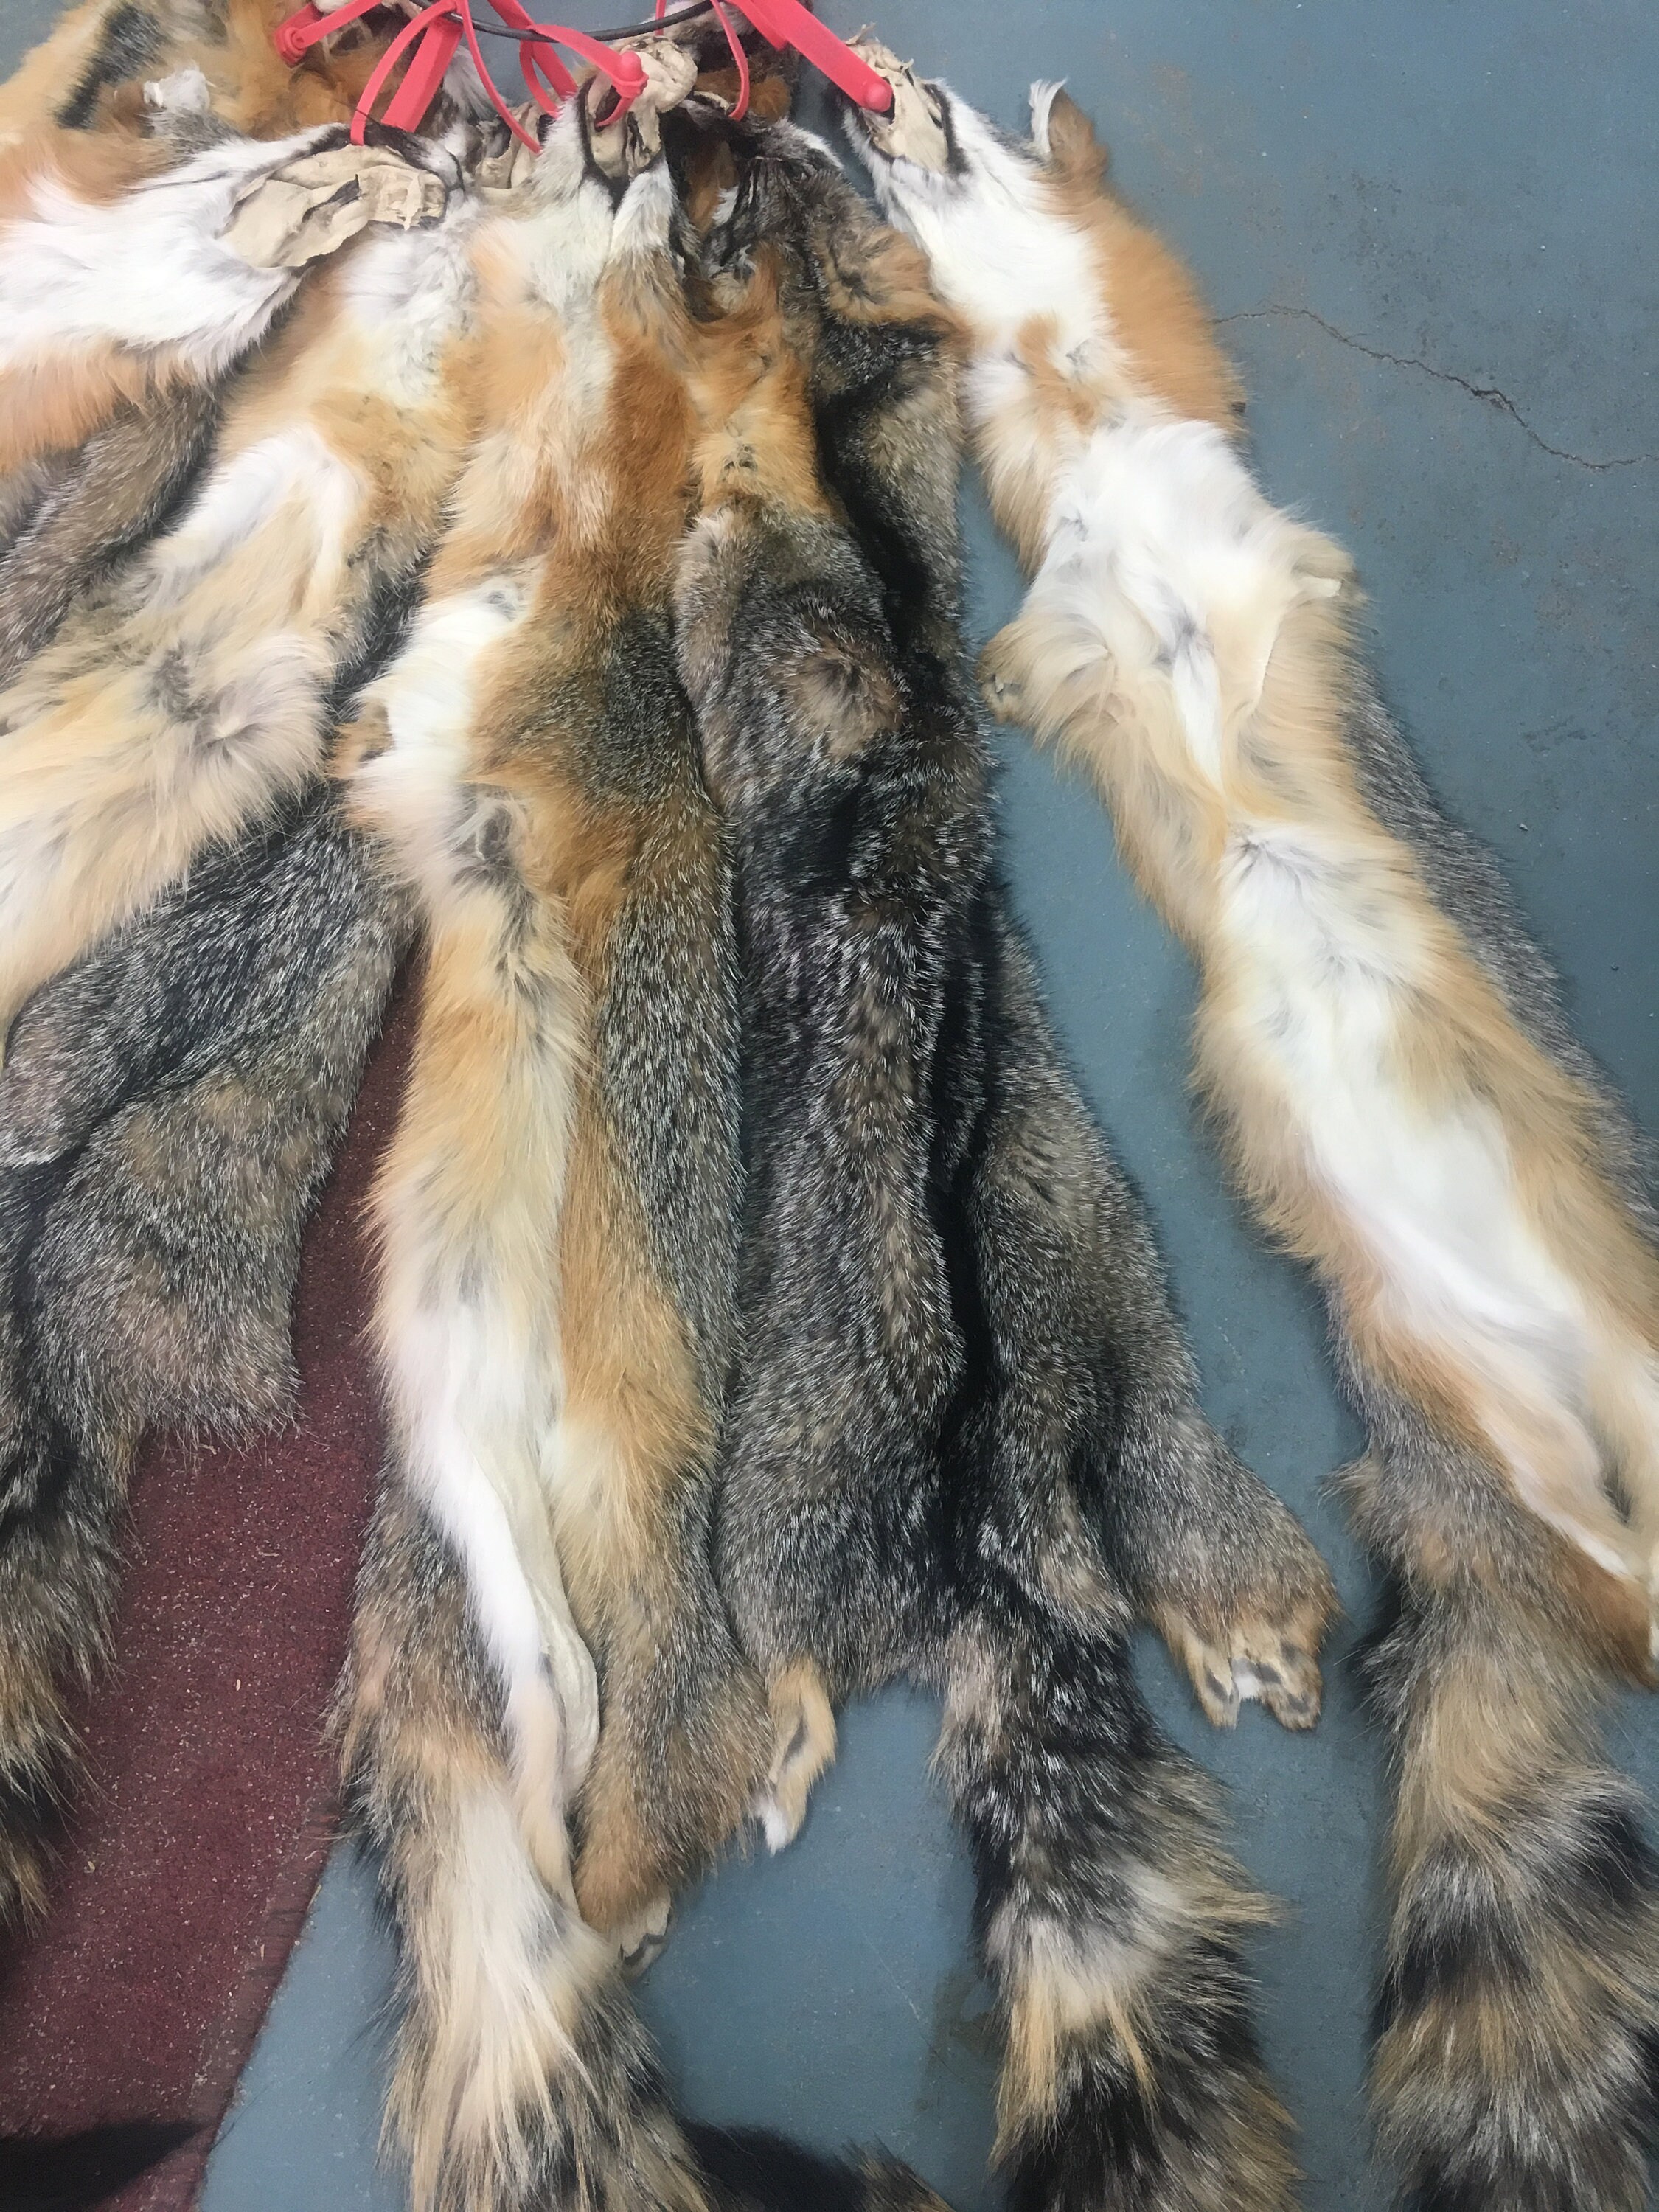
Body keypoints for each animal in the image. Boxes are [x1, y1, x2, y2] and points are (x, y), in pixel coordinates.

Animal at [668, 110, 1334, 2212]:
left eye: (725, 187)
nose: (678, 101)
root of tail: (1011, 1523)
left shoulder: (757, 603)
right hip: (1158, 1421)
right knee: (1207, 1542)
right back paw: (1248, 1627)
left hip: (771, 1536)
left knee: (795, 1671)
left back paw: (777, 1749)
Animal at [845, 60, 1659, 2212]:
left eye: (959, 107)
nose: (876, 78)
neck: (1083, 420)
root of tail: (1473, 1501)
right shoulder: (1054, 591)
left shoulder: (1205, 486)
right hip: (1518, 1439)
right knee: (1619, 1592)